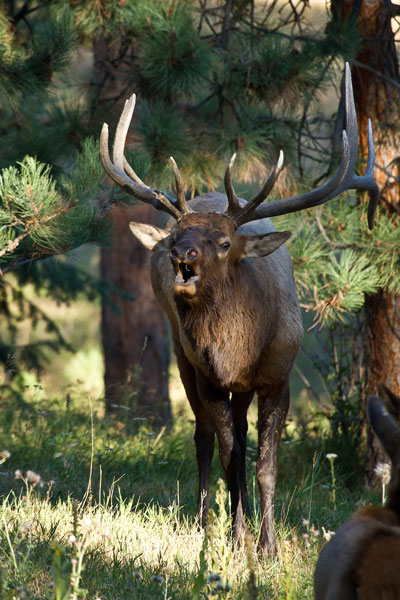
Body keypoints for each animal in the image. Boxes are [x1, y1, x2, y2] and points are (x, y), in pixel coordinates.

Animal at [99, 63, 378, 556]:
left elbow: (265, 466)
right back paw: (204, 523)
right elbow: (229, 458)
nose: (181, 254)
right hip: (182, 357)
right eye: (177, 235)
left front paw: (267, 545)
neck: (237, 352)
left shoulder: (278, 376)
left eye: (225, 242)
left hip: (243, 385)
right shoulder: (208, 376)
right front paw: (237, 538)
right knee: (205, 439)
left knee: (242, 437)